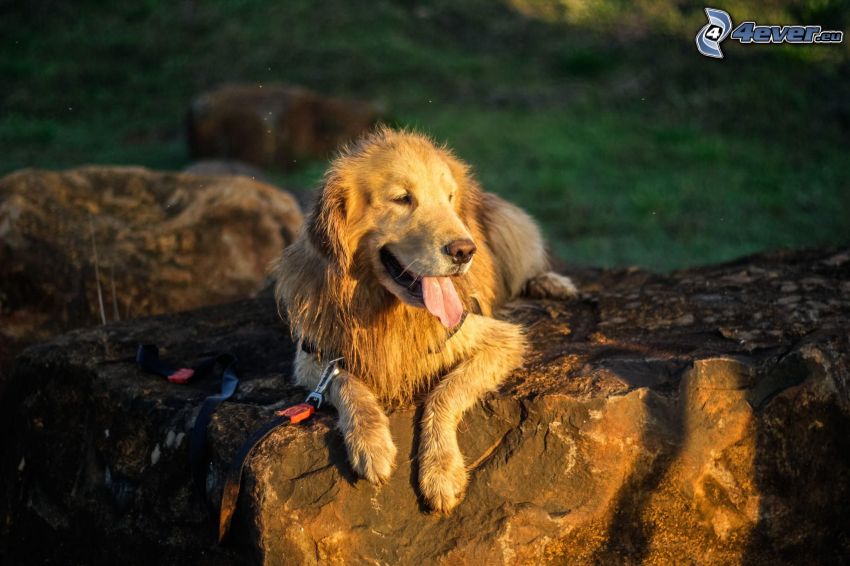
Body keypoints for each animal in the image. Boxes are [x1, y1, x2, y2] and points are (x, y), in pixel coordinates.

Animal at [272, 129, 576, 516]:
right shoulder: (314, 354)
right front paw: (371, 444)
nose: (465, 250)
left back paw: (552, 283)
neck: (387, 309)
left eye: (449, 198)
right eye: (402, 199)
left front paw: (441, 471)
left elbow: (445, 393)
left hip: (513, 229)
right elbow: (347, 384)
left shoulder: (498, 338)